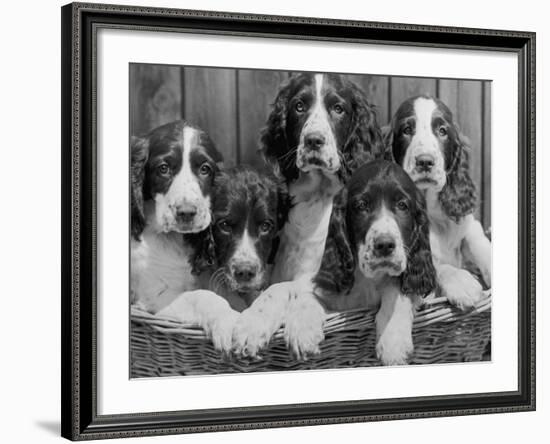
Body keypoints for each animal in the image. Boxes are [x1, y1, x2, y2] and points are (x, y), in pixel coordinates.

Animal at [232, 73, 384, 358]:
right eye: (299, 106)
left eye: (338, 108)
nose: (313, 140)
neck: (318, 197)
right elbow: (277, 288)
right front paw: (252, 324)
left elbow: (289, 289)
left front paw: (296, 326)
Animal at [286, 160, 438, 364]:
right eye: (361, 206)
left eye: (402, 205)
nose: (384, 245)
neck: (368, 279)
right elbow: (308, 294)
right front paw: (301, 330)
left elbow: (396, 291)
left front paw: (393, 342)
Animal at [386, 96, 494, 308]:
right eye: (407, 129)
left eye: (442, 131)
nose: (425, 161)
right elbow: (436, 265)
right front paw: (462, 283)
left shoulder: (468, 223)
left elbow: (478, 242)